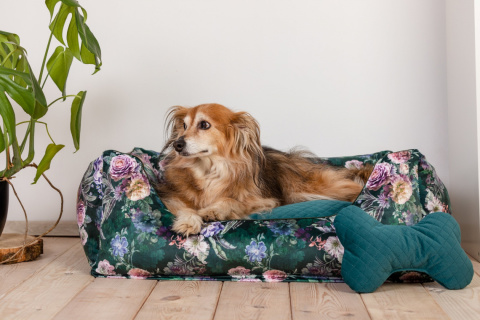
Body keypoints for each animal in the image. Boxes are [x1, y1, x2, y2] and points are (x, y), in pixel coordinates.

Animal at [156, 103, 374, 235]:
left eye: (204, 125)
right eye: (184, 126)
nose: (177, 144)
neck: (210, 170)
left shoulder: (263, 200)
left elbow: (230, 200)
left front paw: (213, 210)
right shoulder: (170, 196)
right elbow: (185, 207)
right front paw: (188, 222)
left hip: (309, 187)